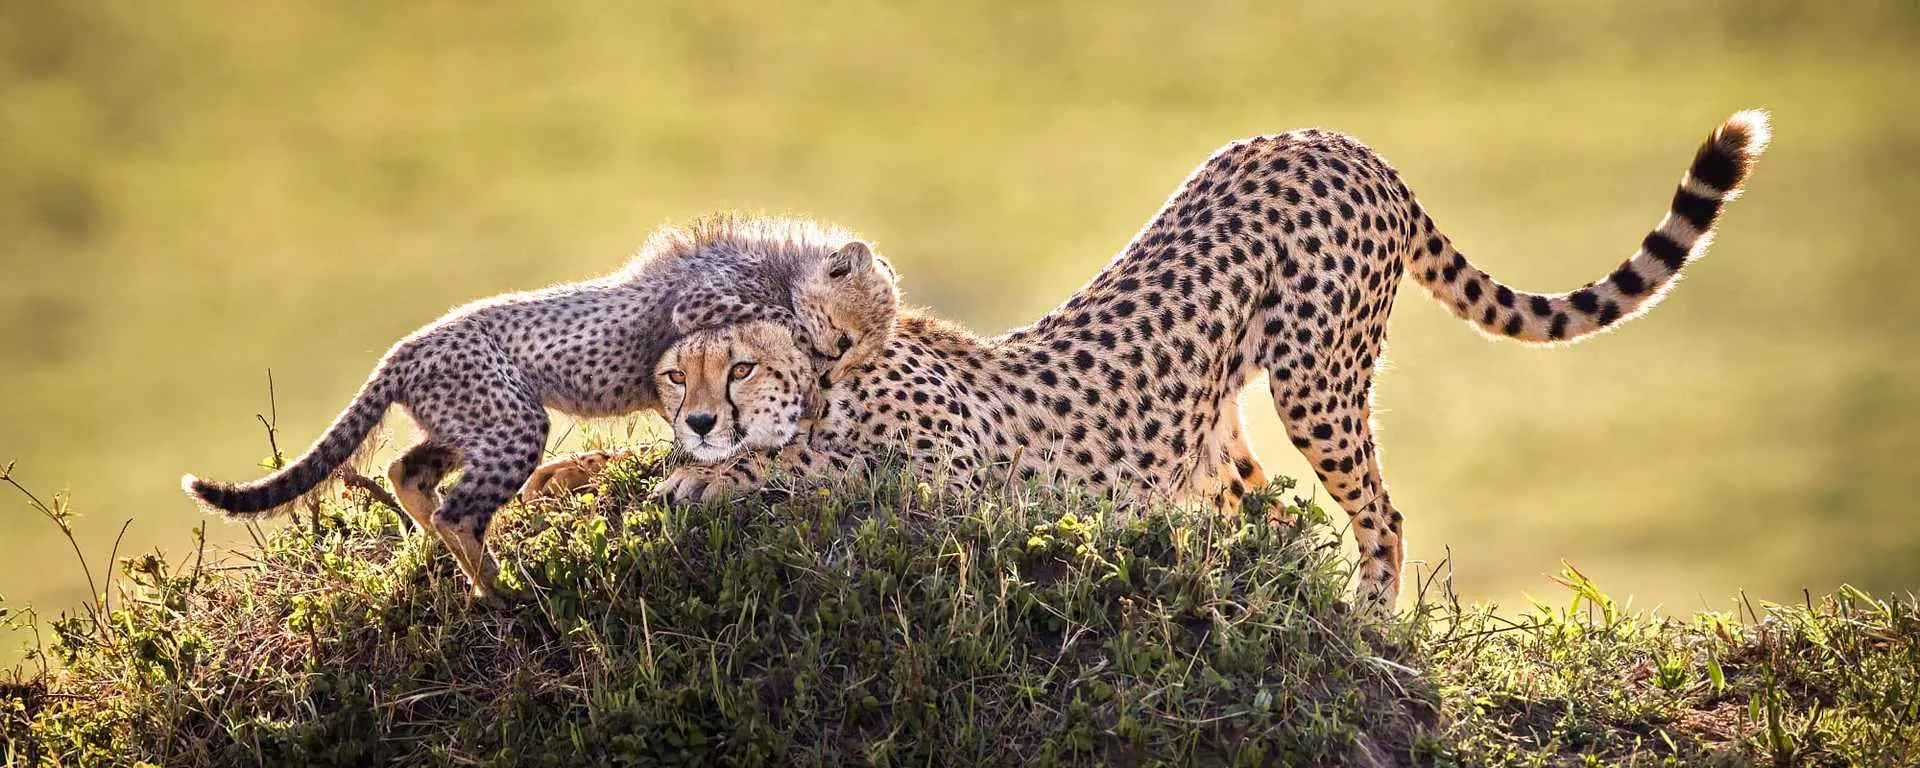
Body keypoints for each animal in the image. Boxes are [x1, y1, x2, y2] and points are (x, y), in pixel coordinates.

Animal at [181, 214, 900, 601]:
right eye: (845, 336)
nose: (834, 360)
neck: (779, 266)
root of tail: (407, 346)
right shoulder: (701, 305)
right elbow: (750, 329)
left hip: (473, 421)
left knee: (407, 472)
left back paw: (460, 560)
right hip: (514, 422)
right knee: (456, 507)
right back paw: (500, 588)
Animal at [652, 111, 1771, 610]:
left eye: (734, 366)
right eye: (673, 374)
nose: (695, 418)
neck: (831, 379)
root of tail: (1334, 139)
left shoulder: (958, 479)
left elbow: (822, 473)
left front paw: (716, 480)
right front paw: (695, 472)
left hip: (1318, 376)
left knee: (1379, 512)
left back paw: (1372, 624)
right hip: (1216, 433)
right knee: (1270, 515)